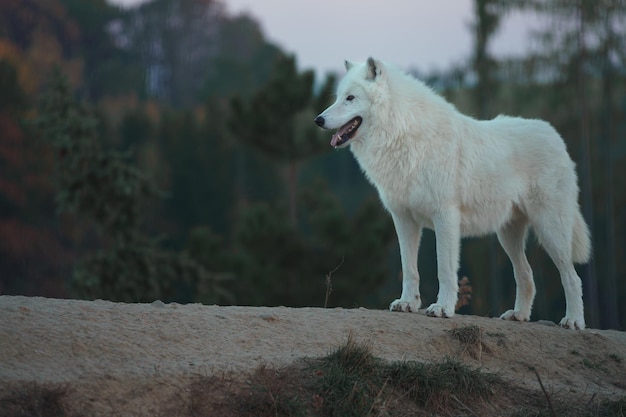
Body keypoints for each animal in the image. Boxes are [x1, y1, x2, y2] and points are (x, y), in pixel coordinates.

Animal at [312, 57, 588, 328]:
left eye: (350, 98)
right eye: (337, 97)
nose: (318, 120)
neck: (404, 134)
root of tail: (554, 135)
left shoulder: (445, 217)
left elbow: (444, 269)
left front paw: (442, 308)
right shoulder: (403, 219)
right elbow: (409, 269)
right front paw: (407, 303)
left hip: (550, 230)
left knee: (572, 277)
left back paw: (573, 320)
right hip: (508, 235)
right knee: (526, 274)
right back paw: (518, 315)